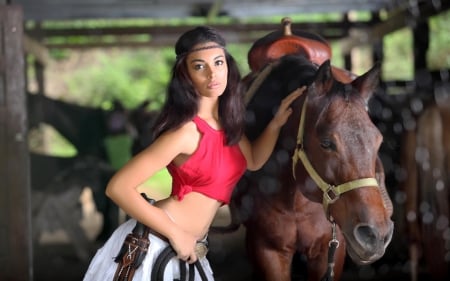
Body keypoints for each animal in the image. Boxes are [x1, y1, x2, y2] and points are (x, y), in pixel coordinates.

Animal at [227, 53, 392, 280]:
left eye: (378, 140)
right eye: (326, 143)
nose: (374, 235)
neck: (296, 201)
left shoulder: (330, 249)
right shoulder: (267, 249)